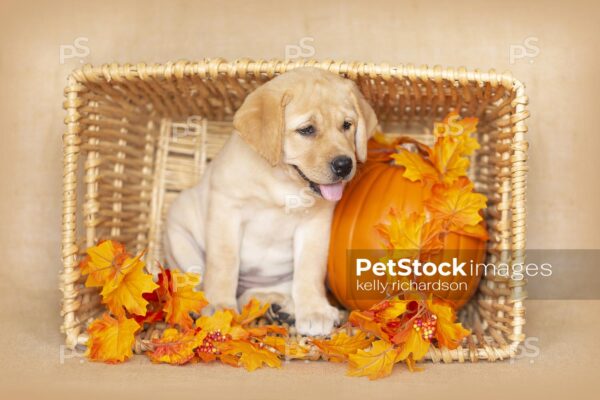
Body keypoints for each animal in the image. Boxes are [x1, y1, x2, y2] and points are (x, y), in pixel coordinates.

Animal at [165, 67, 376, 336]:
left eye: (347, 125)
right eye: (307, 130)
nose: (344, 164)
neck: (283, 181)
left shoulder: (315, 225)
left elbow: (310, 270)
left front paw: (314, 310)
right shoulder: (227, 209)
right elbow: (224, 262)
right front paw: (220, 306)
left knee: (253, 295)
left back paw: (281, 308)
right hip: (180, 237)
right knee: (196, 282)